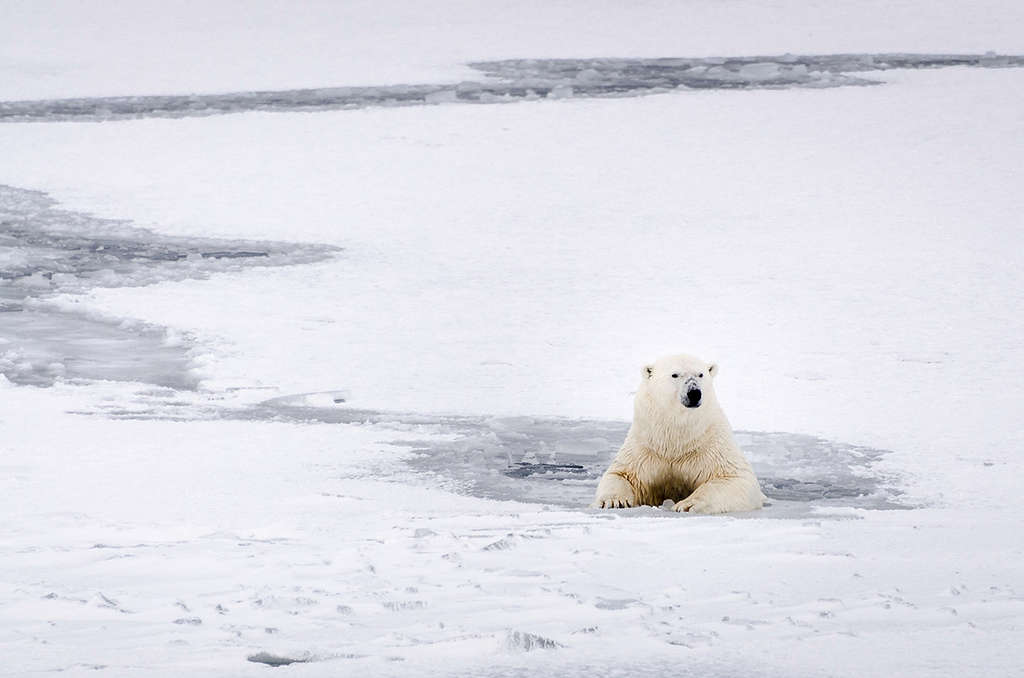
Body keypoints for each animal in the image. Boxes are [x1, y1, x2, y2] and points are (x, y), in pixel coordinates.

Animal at [593, 356, 761, 516]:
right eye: (675, 374)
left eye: (701, 374)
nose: (694, 393)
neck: (677, 439)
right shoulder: (644, 447)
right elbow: (621, 474)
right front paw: (613, 501)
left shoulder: (711, 445)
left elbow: (735, 478)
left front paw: (687, 504)